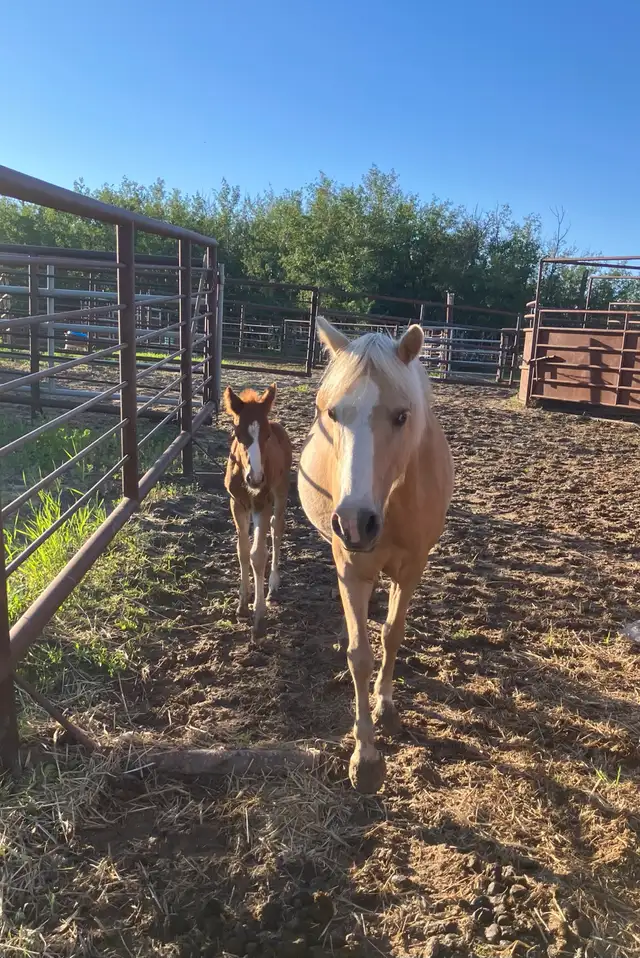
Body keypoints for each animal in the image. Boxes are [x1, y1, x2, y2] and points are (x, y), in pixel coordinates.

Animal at [223, 383, 293, 638]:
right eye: (237, 434)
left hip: (281, 493)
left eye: (266, 435)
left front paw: (259, 615)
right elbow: (243, 551)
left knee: (277, 529)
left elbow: (258, 555)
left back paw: (272, 586)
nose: (255, 479)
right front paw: (243, 605)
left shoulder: (262, 504)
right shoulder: (237, 504)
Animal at [298, 317, 454, 793]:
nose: (354, 522)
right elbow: (360, 655)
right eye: (332, 413)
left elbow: (391, 633)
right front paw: (365, 756)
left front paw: (386, 706)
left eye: (402, 416)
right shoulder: (352, 570)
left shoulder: (412, 569)